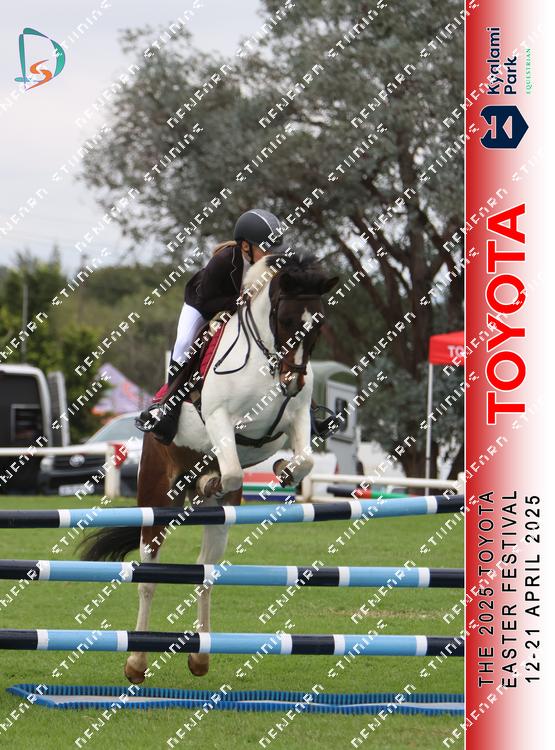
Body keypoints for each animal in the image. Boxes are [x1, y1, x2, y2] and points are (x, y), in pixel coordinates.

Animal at [79, 252, 338, 683]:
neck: (266, 361)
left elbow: (304, 459)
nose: (293, 382)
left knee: (205, 575)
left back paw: (200, 657)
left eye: (319, 324)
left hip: (220, 521)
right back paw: (136, 663)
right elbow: (232, 468)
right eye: (285, 320)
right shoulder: (219, 419)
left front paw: (283, 468)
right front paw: (215, 478)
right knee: (148, 577)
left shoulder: (297, 419)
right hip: (156, 498)